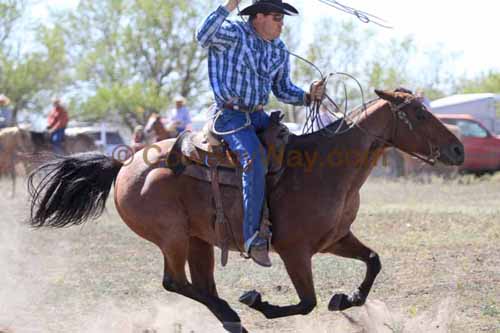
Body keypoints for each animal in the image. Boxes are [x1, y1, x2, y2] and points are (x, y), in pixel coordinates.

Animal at [28, 88, 464, 332]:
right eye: (420, 114)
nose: (459, 149)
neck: (328, 169)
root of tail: (125, 164)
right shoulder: (294, 251)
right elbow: (306, 302)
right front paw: (259, 301)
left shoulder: (336, 238)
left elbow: (373, 261)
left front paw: (346, 299)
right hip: (172, 236)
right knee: (175, 282)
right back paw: (234, 312)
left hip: (198, 239)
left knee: (200, 286)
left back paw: (230, 319)